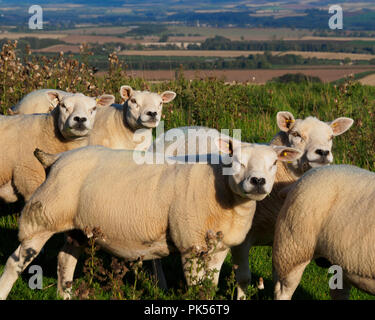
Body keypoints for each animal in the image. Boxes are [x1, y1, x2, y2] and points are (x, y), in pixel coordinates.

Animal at [0, 138, 302, 300]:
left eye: (274, 164)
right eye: (237, 161)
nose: (258, 181)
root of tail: (57, 158)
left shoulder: (218, 249)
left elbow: (210, 287)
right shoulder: (190, 245)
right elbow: (197, 288)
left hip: (79, 227)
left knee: (65, 261)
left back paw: (66, 295)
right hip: (43, 215)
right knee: (16, 262)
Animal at [148, 111, 354, 298]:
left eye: (331, 137)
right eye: (296, 134)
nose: (323, 152)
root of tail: (182, 128)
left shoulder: (281, 242)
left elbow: (279, 282)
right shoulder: (242, 239)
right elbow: (244, 278)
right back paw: (161, 285)